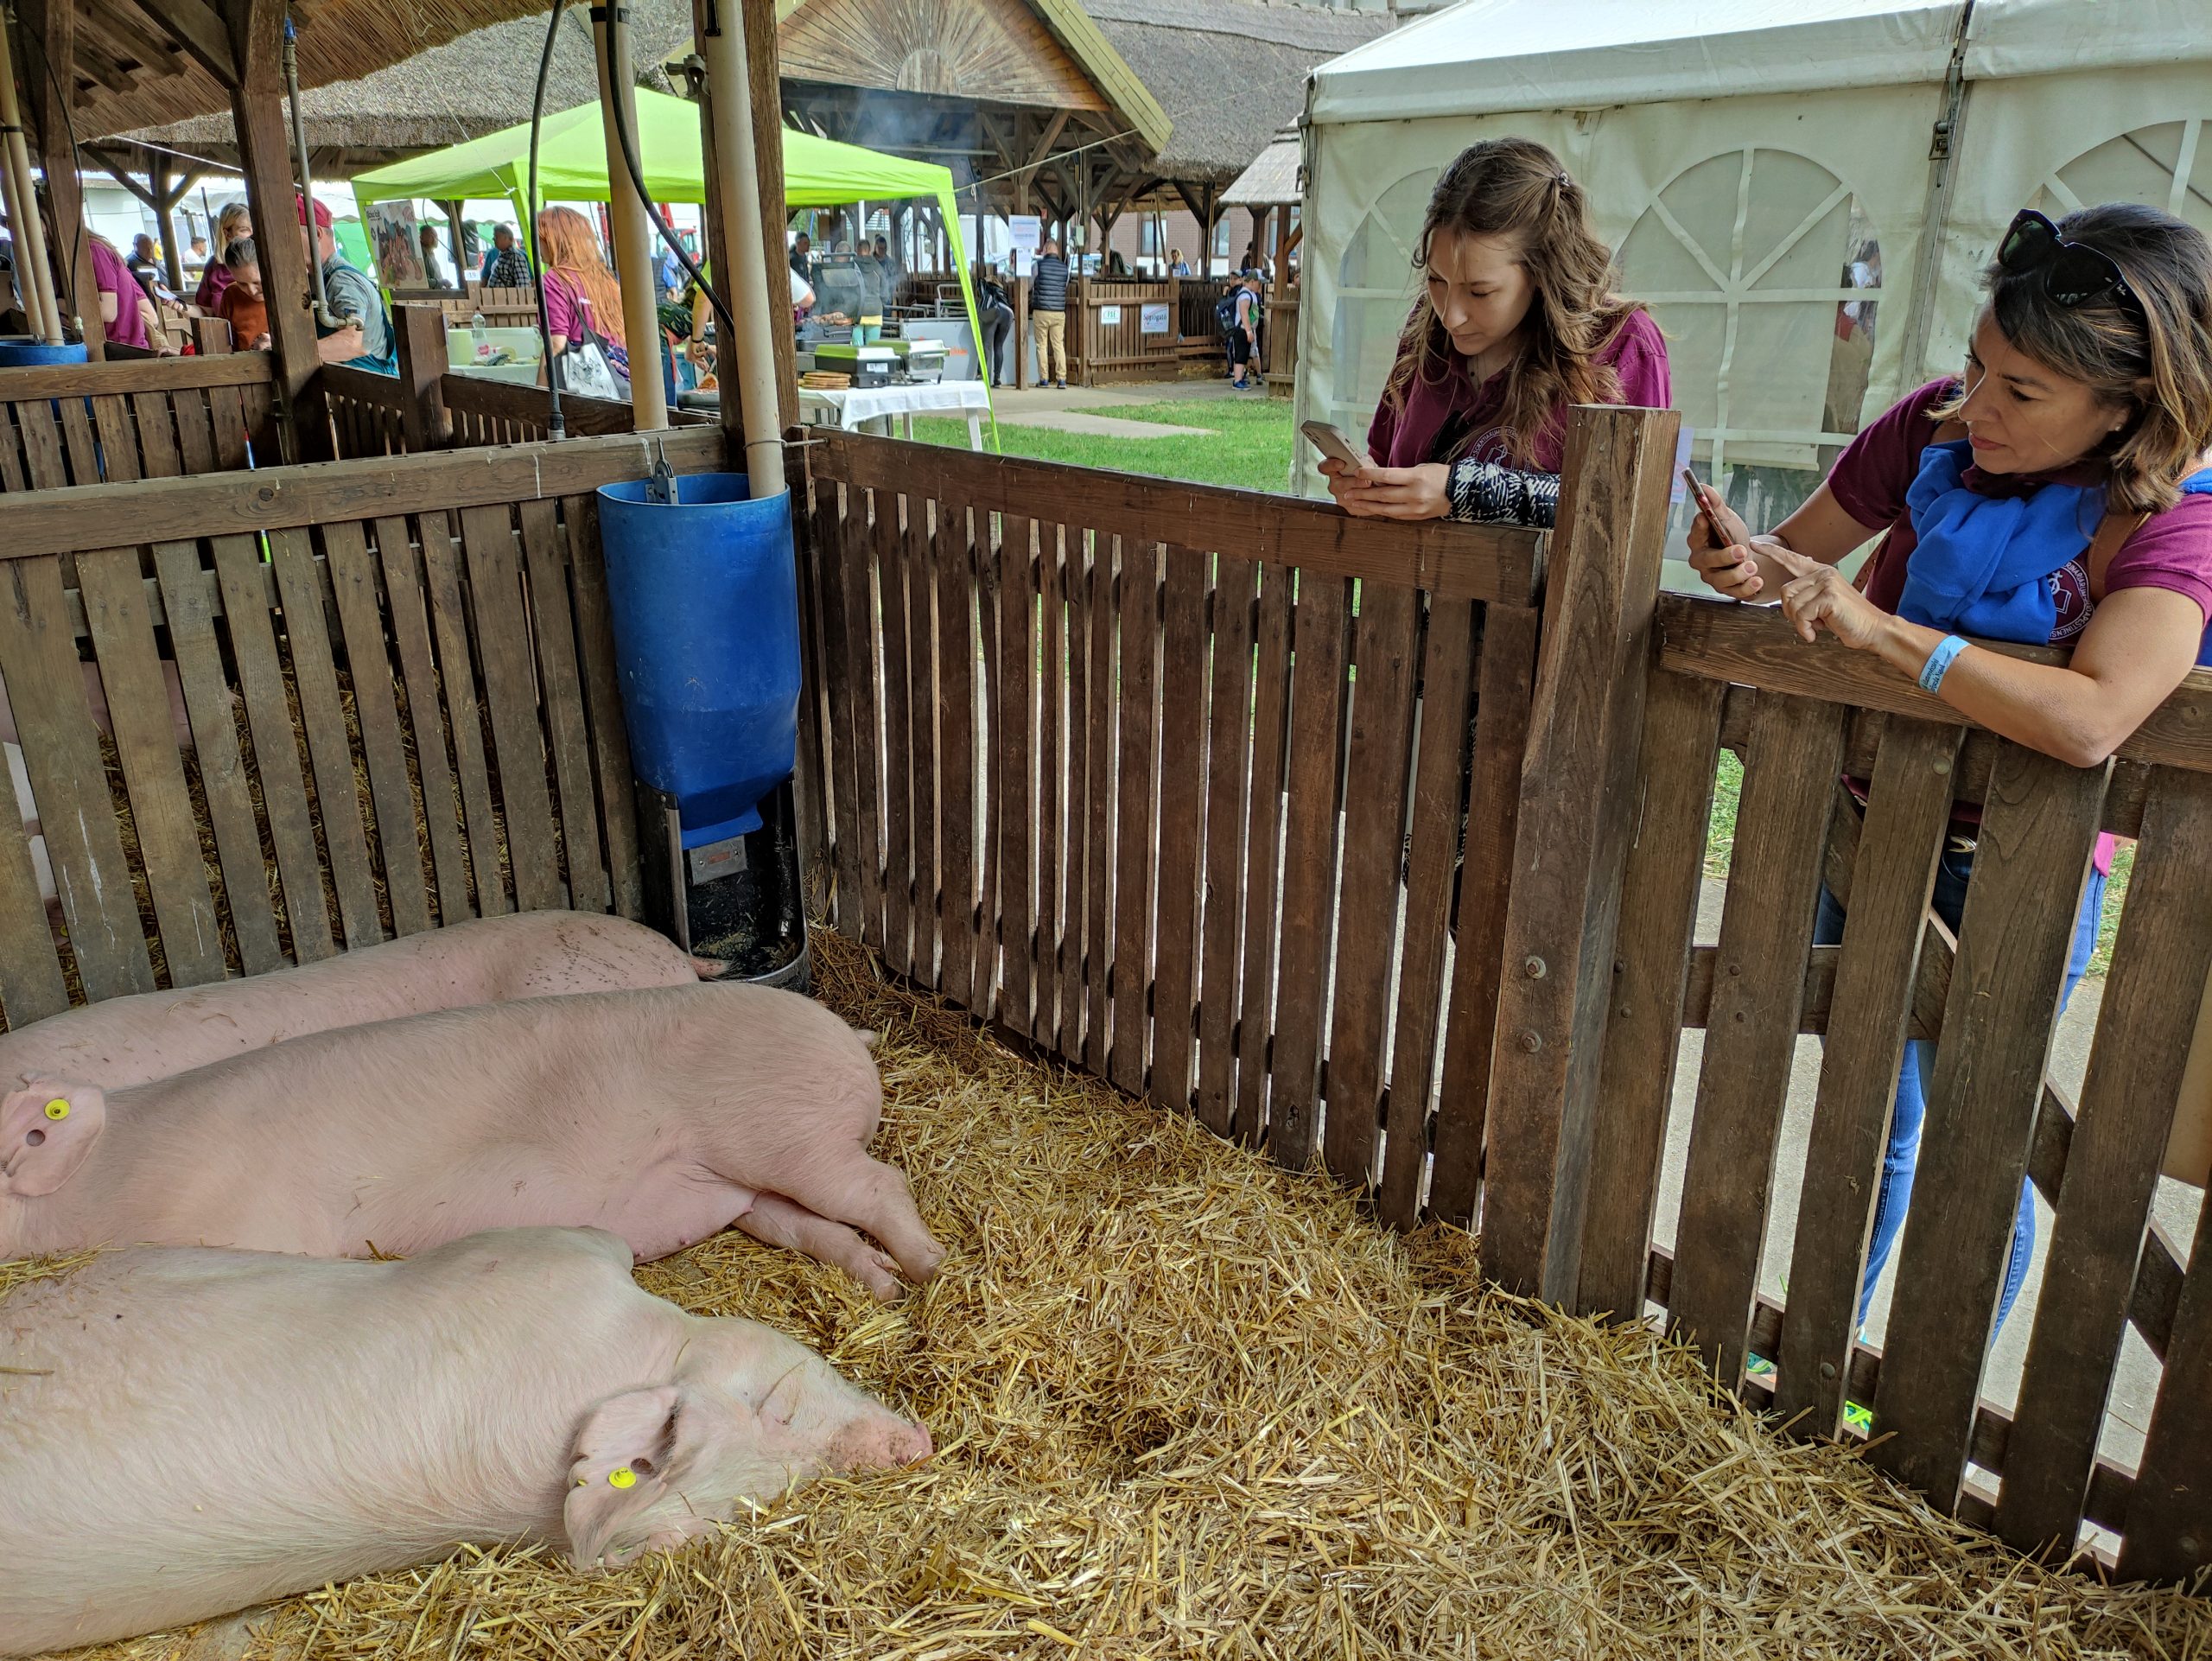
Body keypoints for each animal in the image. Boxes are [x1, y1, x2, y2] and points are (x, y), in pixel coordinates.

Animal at [0, 986, 942, 1300]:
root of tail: (845, 1032)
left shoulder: (246, 1222)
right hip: (745, 1186)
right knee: (809, 1228)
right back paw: (883, 1285)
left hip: (787, 1135)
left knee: (878, 1186)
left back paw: (929, 1269)